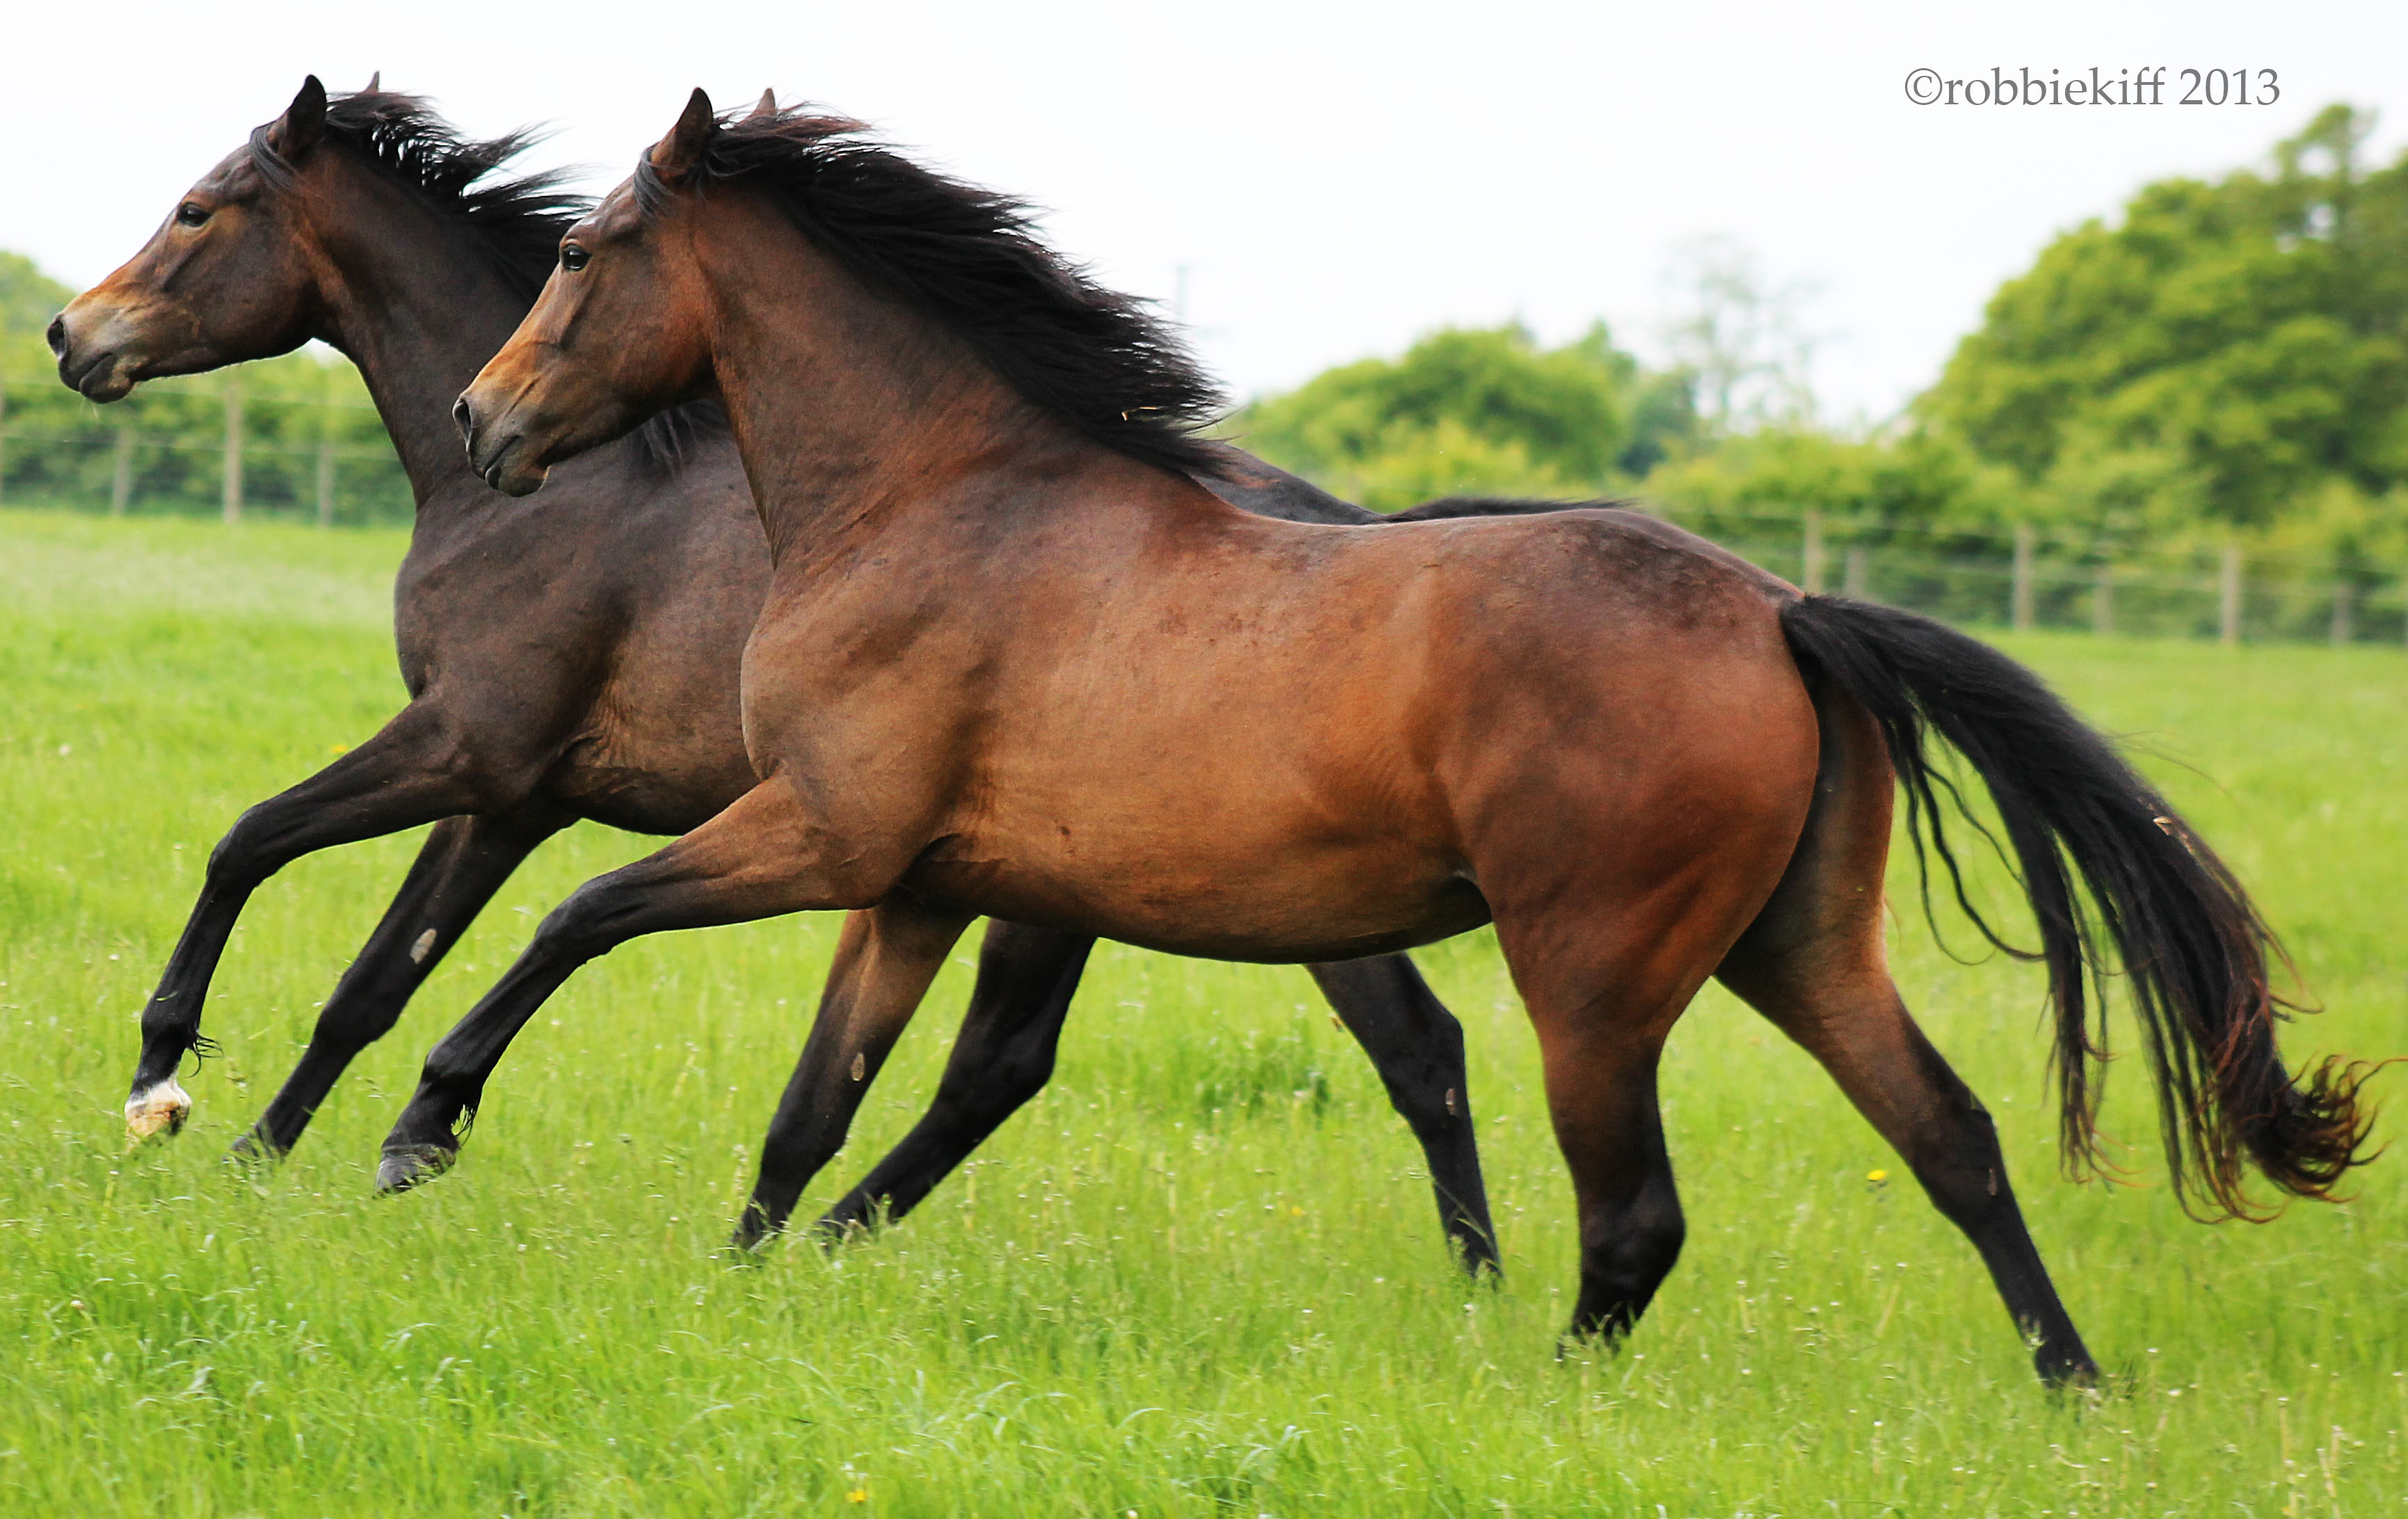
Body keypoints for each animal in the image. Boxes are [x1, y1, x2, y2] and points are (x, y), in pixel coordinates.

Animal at [48, 76, 1551, 1270]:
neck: (559, 489)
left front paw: (166, 1086)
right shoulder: (517, 795)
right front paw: (267, 1155)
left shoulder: (469, 740)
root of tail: (1348, 524)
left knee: (1396, 1050)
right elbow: (376, 979)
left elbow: (254, 842)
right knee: (1045, 1065)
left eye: (195, 211)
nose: (71, 336)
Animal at [437, 89, 2377, 1383]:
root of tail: (1778, 610)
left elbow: (574, 916)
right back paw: (2073, 1389)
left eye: (585, 250)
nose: (478, 423)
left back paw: (1548, 1393)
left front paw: (421, 1134)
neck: (938, 504)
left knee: (1635, 1216)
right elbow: (815, 1107)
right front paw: (752, 1275)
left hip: (1592, 973)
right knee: (1952, 1137)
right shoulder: (915, 882)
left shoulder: (820, 833)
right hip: (1800, 947)